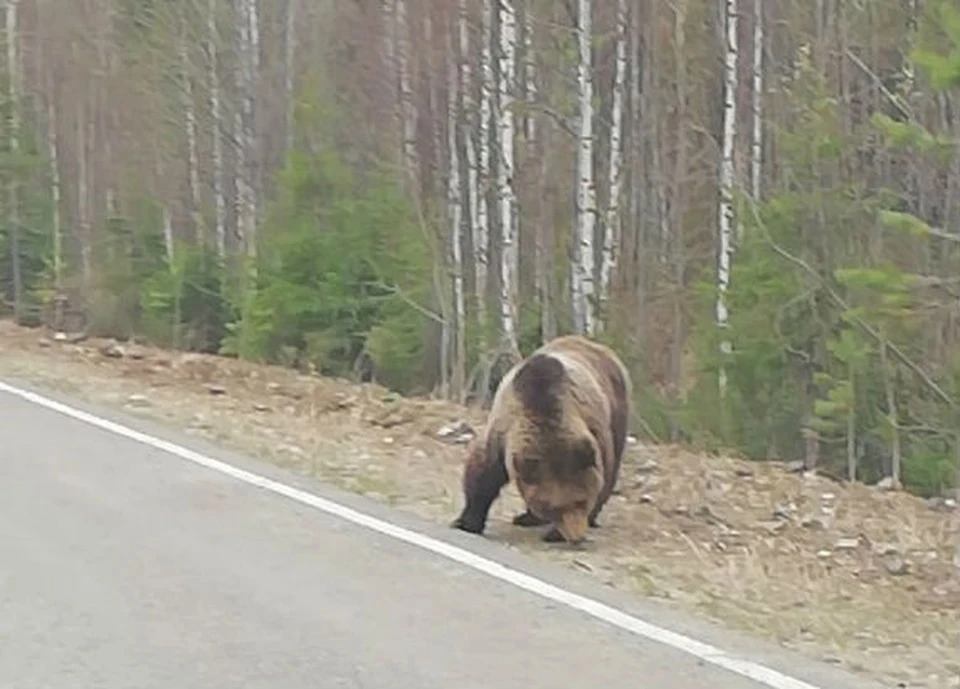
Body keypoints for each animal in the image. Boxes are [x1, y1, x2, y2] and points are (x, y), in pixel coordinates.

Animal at [451, 334, 632, 545]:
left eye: (582, 501)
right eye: (554, 508)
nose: (576, 537)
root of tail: (593, 344)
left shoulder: (595, 431)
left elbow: (604, 475)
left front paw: (555, 532)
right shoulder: (502, 432)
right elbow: (483, 472)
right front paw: (465, 522)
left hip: (617, 409)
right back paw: (526, 518)